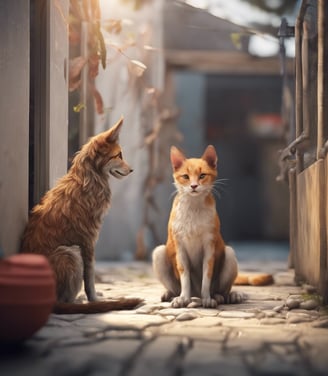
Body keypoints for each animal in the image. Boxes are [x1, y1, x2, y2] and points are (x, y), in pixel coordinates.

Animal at [20, 117, 141, 314]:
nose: (131, 170)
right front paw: (95, 300)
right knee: (64, 302)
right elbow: (90, 278)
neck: (90, 179)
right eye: (118, 155)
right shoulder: (87, 241)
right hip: (70, 252)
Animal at [152, 145, 242, 306]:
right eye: (185, 177)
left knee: (223, 290)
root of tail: (196, 294)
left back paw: (223, 296)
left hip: (229, 254)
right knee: (174, 286)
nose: (194, 186)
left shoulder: (209, 245)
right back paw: (170, 294)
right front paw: (183, 298)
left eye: (202, 175)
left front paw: (207, 298)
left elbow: (207, 274)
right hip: (159, 252)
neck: (193, 209)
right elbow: (184, 274)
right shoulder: (179, 245)